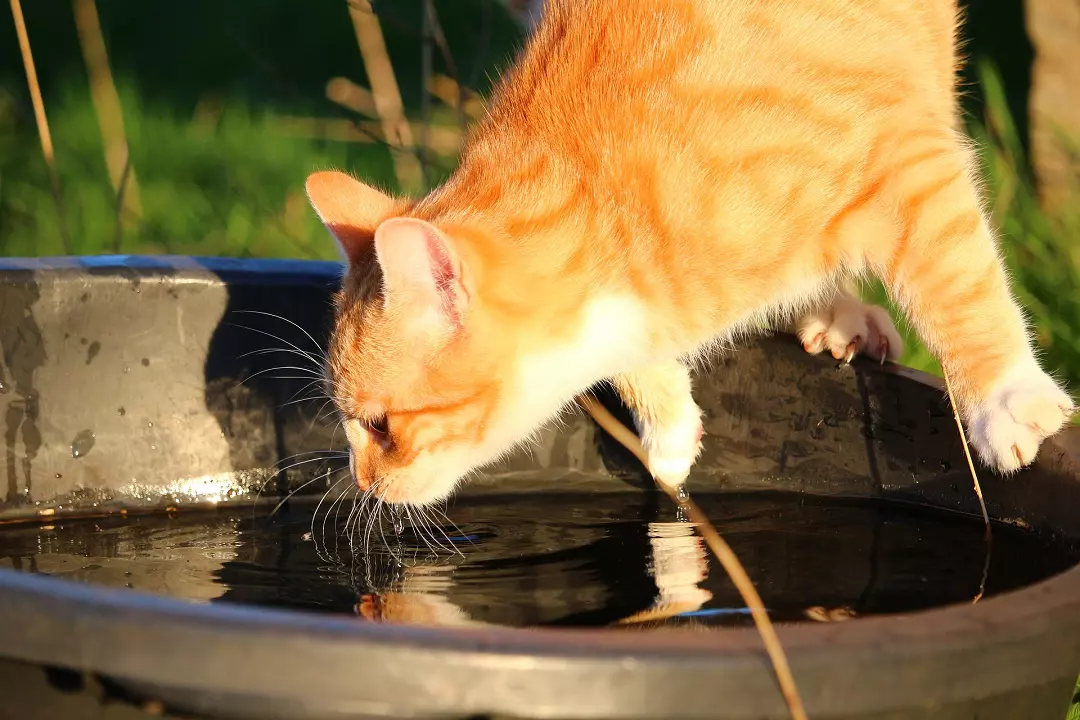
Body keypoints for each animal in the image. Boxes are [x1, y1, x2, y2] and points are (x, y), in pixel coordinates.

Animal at [306, 0, 1071, 507]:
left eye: (379, 426)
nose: (364, 484)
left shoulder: (907, 164)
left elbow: (959, 281)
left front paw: (1005, 397)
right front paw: (668, 428)